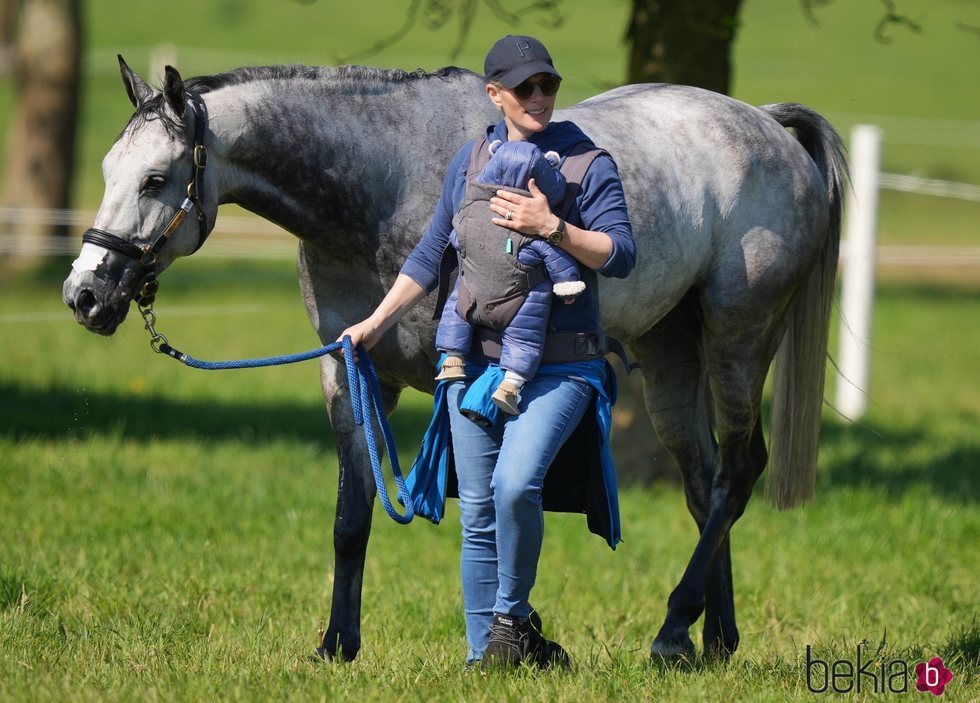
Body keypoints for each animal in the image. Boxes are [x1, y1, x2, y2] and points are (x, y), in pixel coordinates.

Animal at [59, 56, 844, 664]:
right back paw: (711, 640)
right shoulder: (348, 369)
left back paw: (674, 629)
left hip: (739, 338)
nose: (84, 294)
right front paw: (337, 645)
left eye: (156, 178)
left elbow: (492, 498)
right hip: (671, 353)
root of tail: (767, 125)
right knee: (705, 482)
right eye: (108, 169)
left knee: (736, 474)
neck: (382, 181)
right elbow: (352, 515)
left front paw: (512, 640)